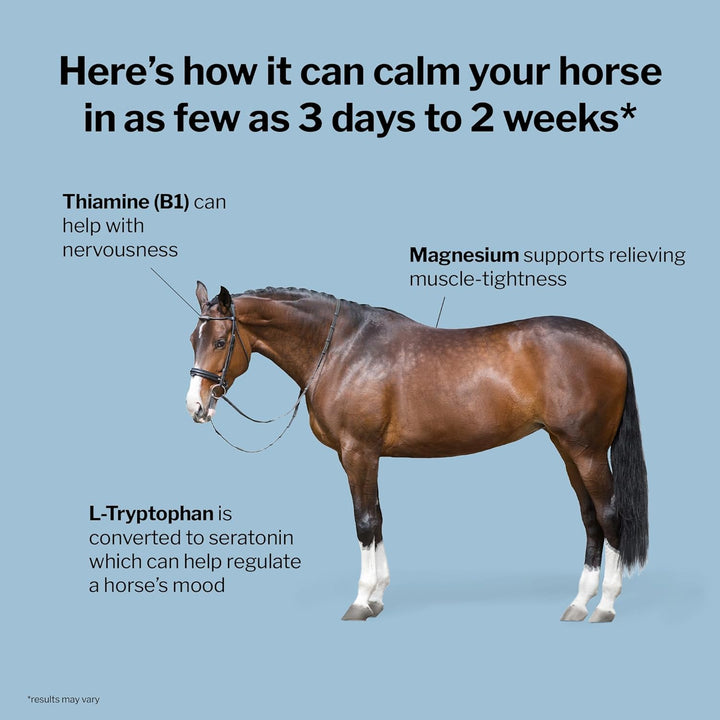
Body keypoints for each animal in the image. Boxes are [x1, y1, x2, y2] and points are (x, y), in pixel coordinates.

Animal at [185, 283, 648, 622]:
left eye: (222, 340)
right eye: (193, 338)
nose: (195, 406)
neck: (342, 349)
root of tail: (611, 345)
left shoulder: (358, 452)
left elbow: (364, 522)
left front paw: (360, 602)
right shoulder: (365, 456)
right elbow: (378, 519)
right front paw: (377, 598)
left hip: (587, 451)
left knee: (609, 516)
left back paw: (605, 606)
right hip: (567, 449)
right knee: (589, 518)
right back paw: (579, 604)